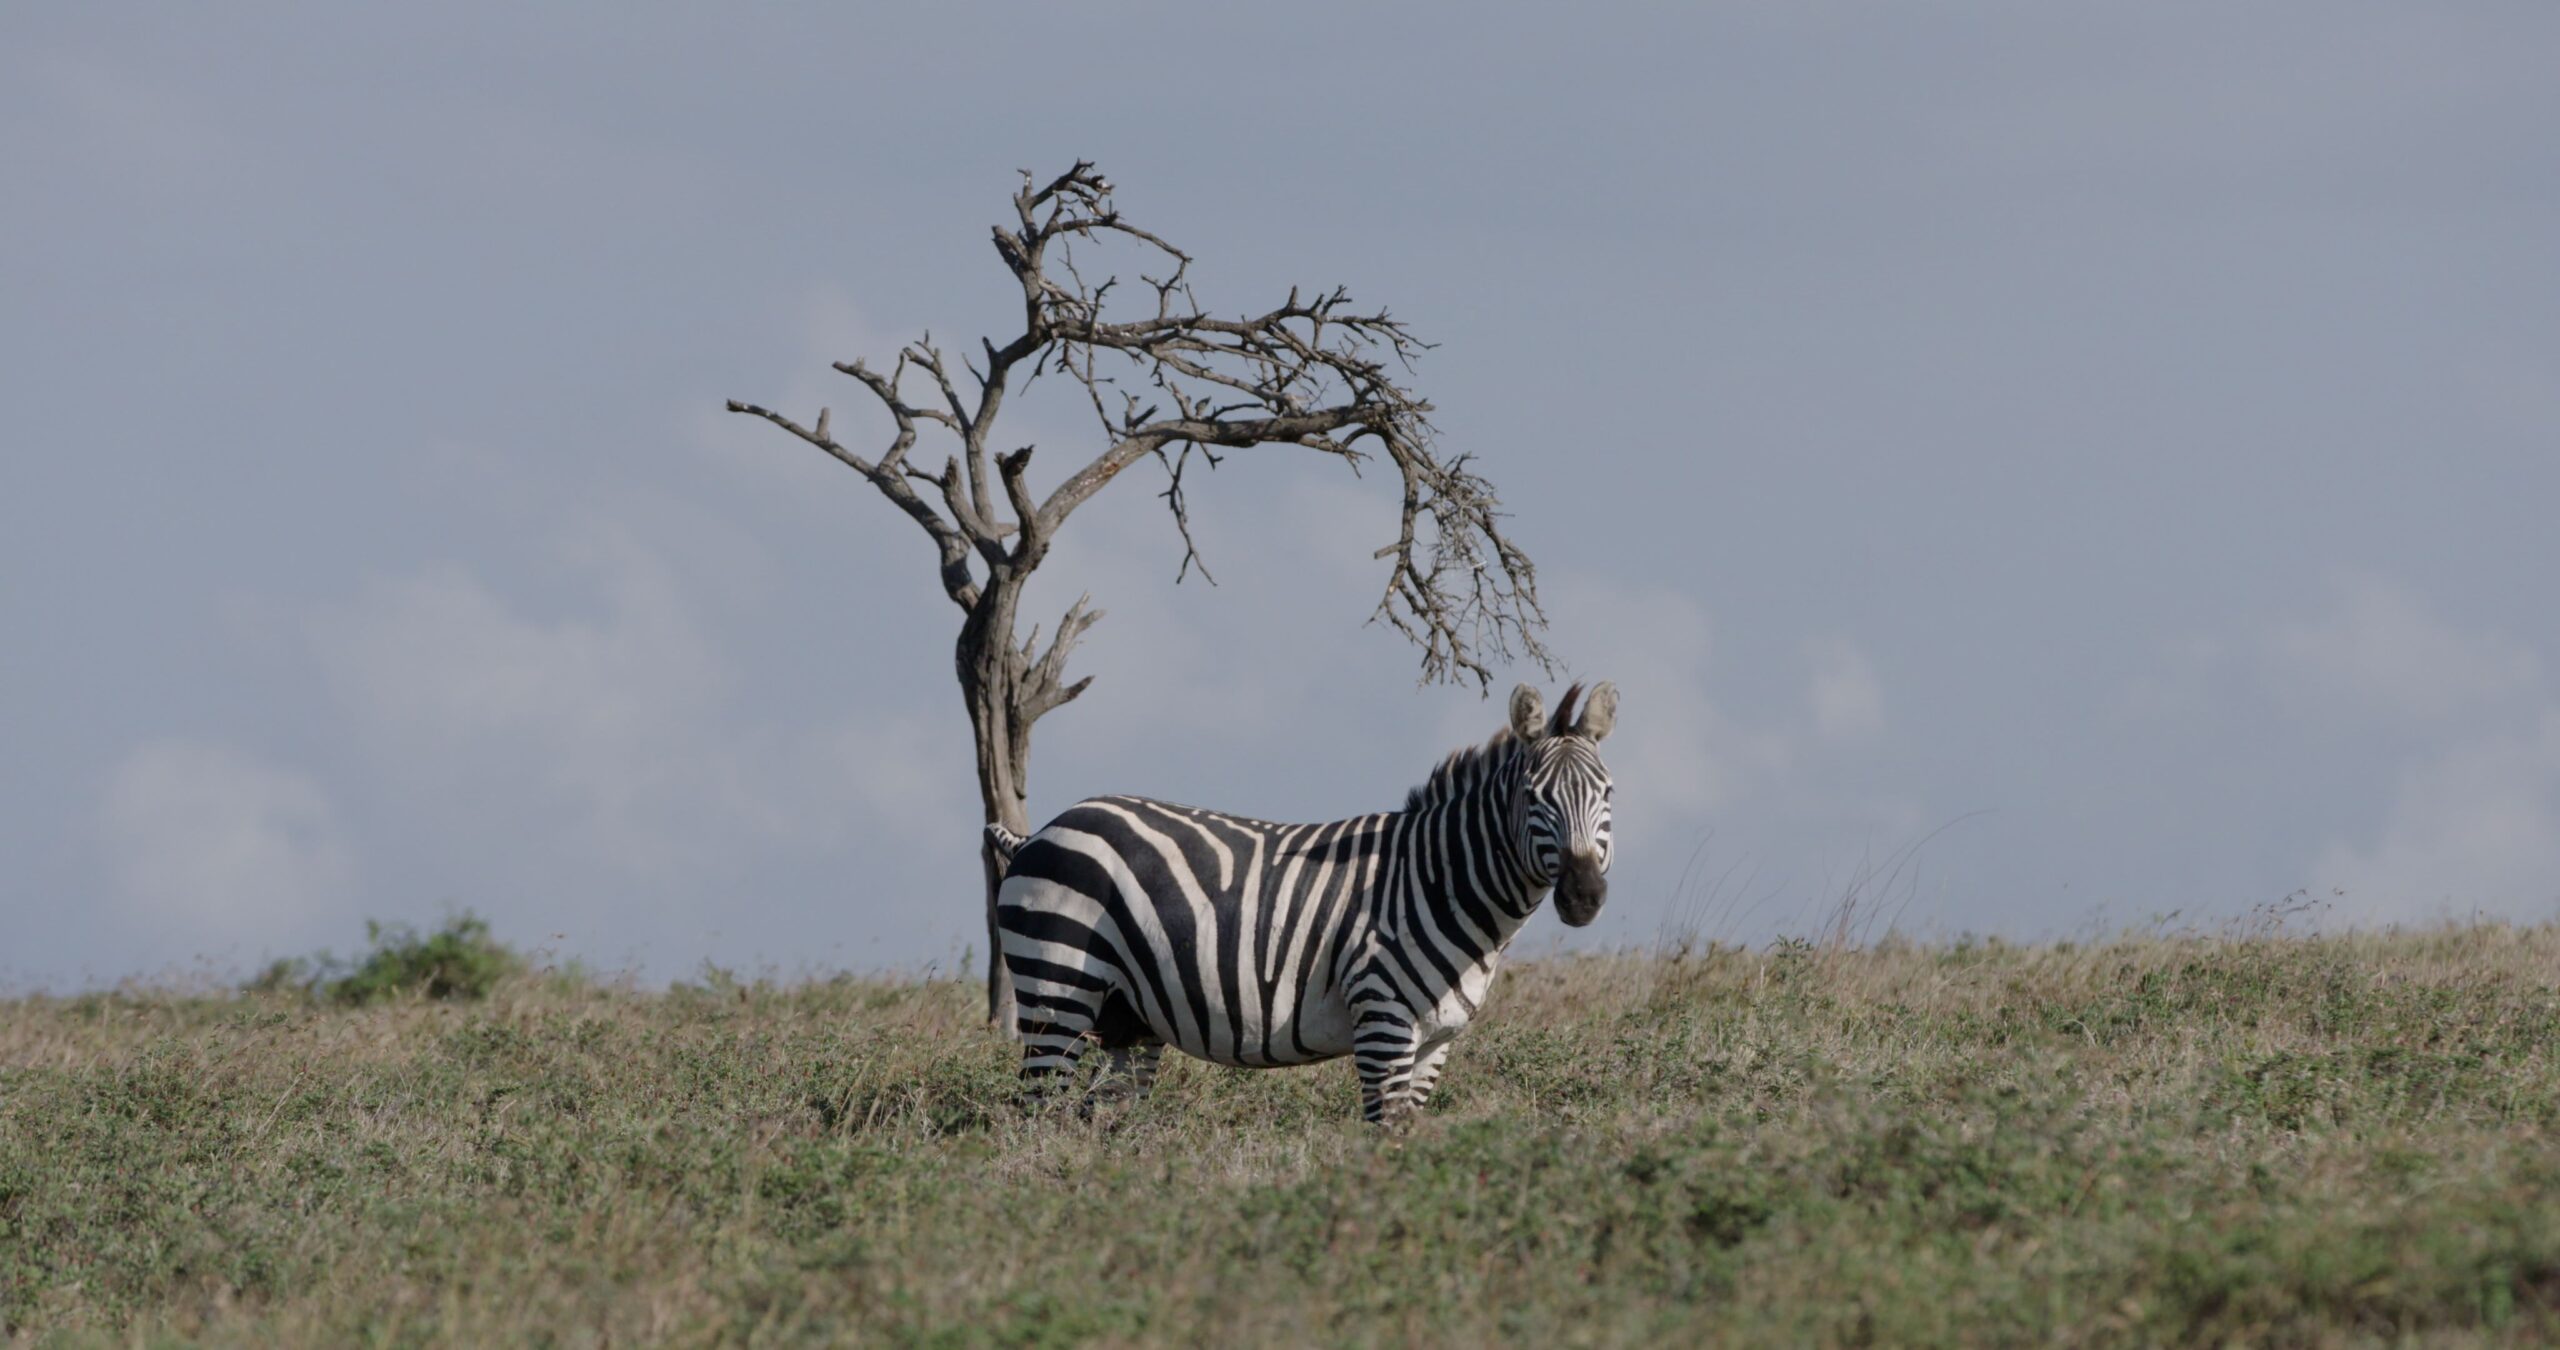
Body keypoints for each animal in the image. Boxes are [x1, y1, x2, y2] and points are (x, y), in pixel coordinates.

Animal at [983, 681, 1617, 1127]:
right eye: (1533, 798)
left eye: (1608, 793)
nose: (1584, 897)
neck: (1441, 883)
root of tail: (1040, 832)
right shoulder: (1383, 1019)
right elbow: (1385, 1138)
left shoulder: (1434, 1043)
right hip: (1057, 989)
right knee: (1038, 1117)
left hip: (1127, 1019)